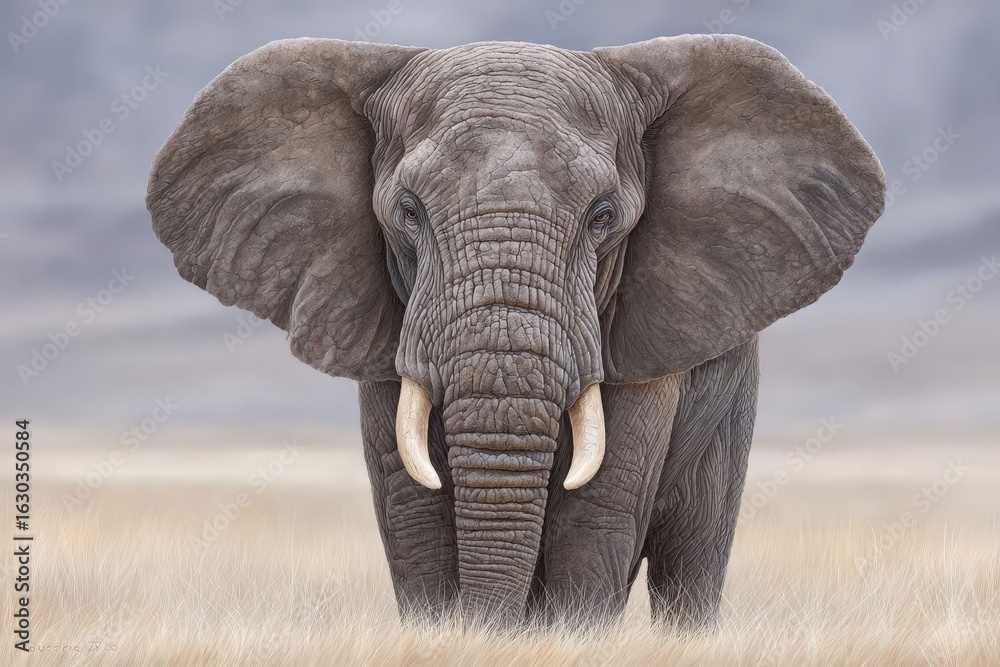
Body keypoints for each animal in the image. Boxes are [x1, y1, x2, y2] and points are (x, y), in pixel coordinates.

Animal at [147, 34, 885, 629]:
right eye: (408, 212)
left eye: (602, 215)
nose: (490, 627)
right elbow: (409, 501)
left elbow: (601, 502)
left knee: (695, 555)